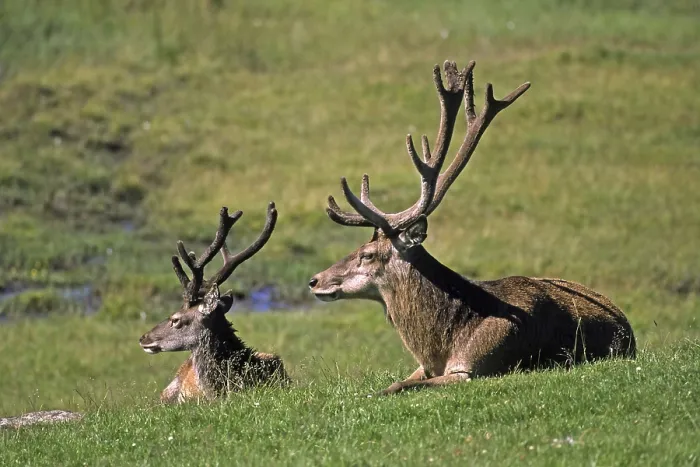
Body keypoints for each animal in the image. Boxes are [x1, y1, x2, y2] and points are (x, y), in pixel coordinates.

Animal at [308, 60, 636, 396]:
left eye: (368, 254)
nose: (315, 280)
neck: (441, 346)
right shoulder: (422, 367)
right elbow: (394, 383)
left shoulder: (476, 366)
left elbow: (397, 386)